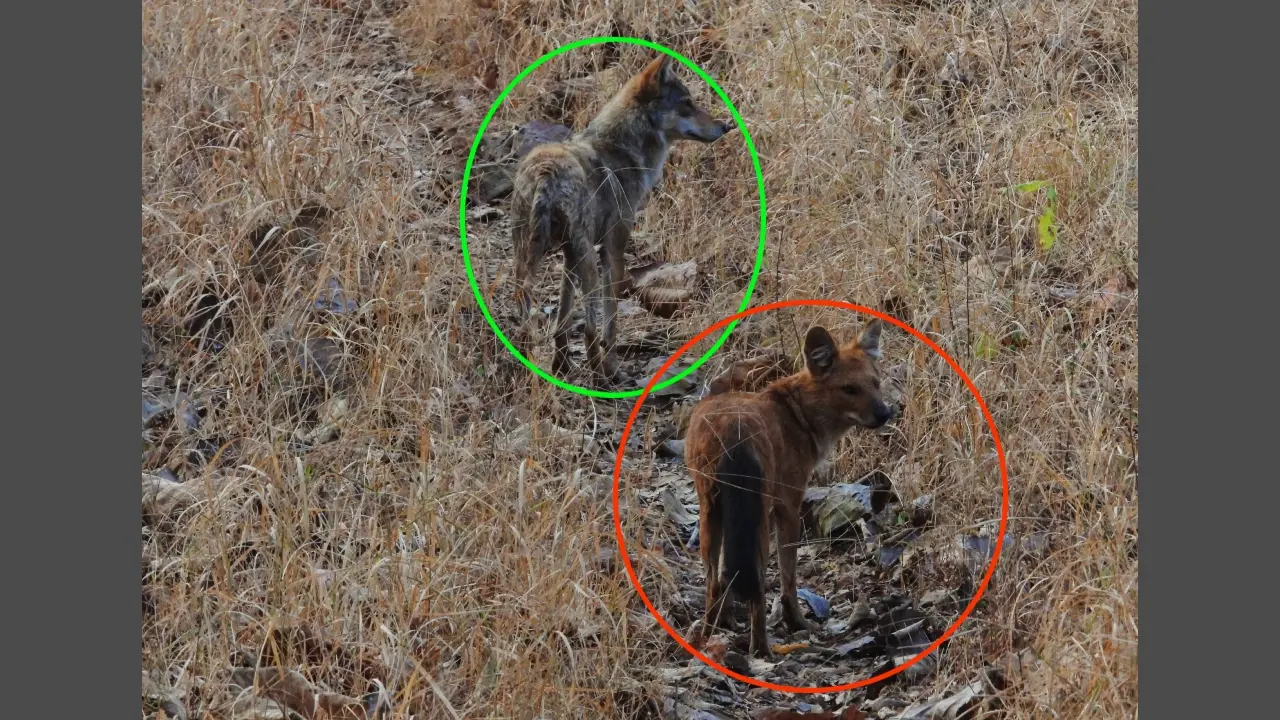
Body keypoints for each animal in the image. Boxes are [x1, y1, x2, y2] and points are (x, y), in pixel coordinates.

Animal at [510, 53, 734, 385]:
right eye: (688, 103)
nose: (726, 126)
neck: (624, 150)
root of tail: (545, 173)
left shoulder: (568, 256)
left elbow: (563, 317)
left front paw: (561, 366)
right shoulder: (612, 249)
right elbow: (610, 323)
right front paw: (612, 368)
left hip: (530, 260)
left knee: (526, 321)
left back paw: (530, 372)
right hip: (587, 259)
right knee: (590, 328)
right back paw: (603, 378)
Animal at [684, 319, 896, 658]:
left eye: (875, 383)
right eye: (850, 389)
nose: (885, 413)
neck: (796, 415)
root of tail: (734, 429)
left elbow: (725, 575)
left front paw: (726, 620)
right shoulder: (786, 505)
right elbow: (788, 577)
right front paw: (796, 620)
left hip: (711, 510)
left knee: (713, 582)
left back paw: (706, 637)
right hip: (755, 518)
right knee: (756, 586)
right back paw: (761, 650)